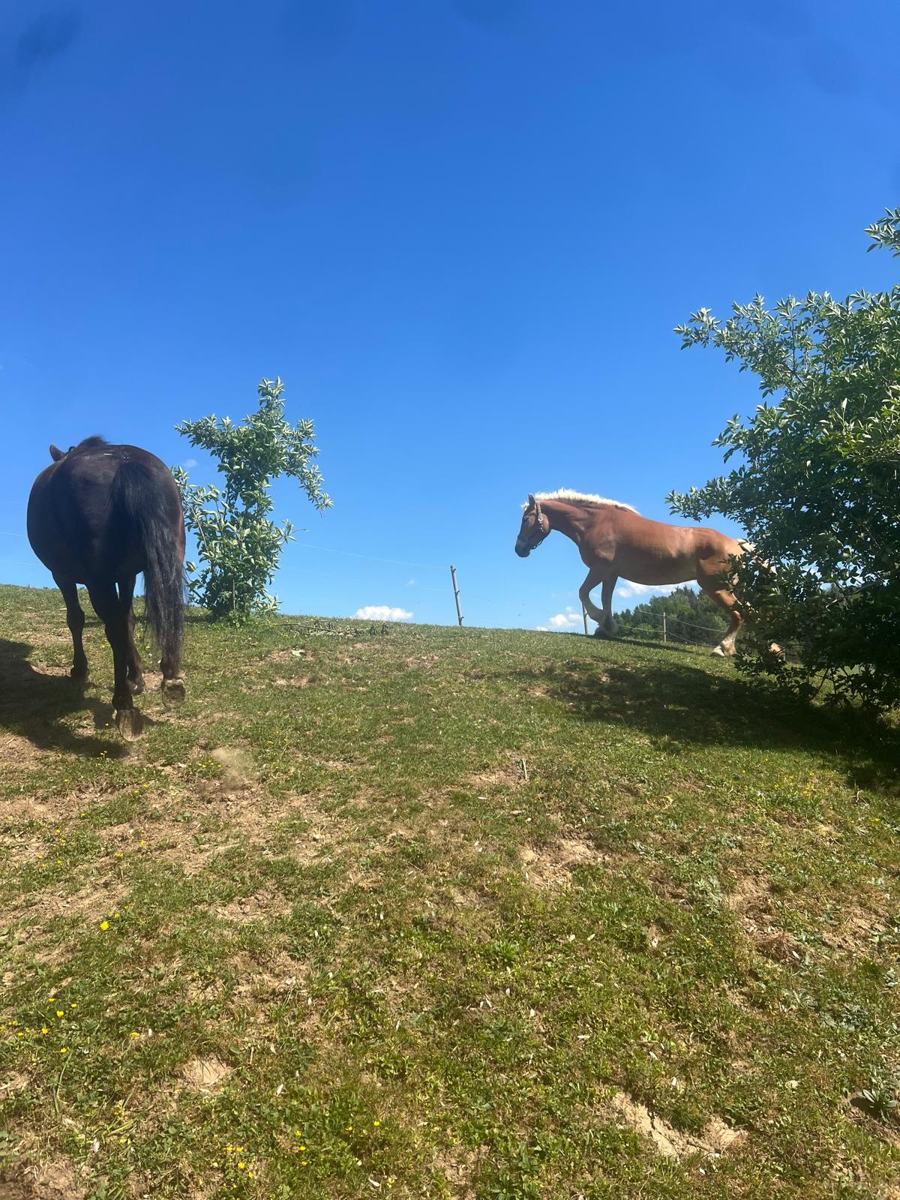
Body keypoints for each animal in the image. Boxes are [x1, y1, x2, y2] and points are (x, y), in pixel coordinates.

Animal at [27, 437, 186, 734]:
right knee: (164, 614)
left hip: (96, 581)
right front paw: (136, 677)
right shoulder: (126, 576)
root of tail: (125, 463)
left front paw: (80, 669)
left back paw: (123, 703)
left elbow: (76, 619)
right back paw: (170, 679)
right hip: (170, 561)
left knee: (112, 629)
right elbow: (128, 619)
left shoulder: (62, 575)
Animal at [515, 489, 755, 657]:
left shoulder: (600, 569)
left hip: (715, 587)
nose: (519, 549)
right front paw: (606, 627)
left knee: (739, 614)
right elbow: (606, 598)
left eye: (526, 519)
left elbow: (583, 593)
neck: (596, 523)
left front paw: (600, 620)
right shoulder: (610, 574)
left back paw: (721, 649)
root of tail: (737, 545)